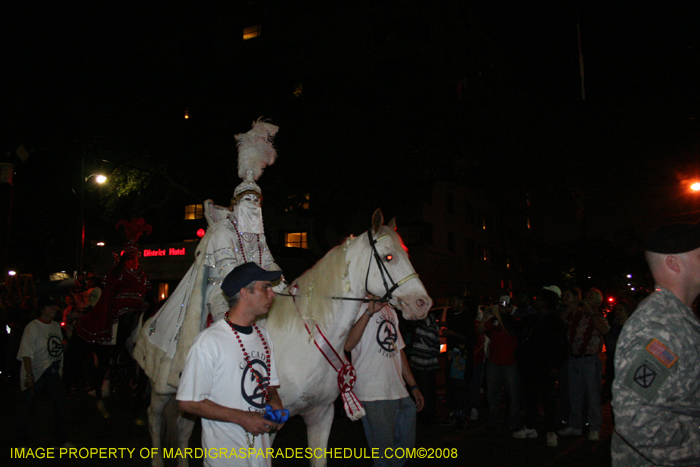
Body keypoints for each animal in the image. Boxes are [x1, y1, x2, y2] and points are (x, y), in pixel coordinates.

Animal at [137, 210, 430, 466]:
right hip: (162, 389)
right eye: (389, 257)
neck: (307, 341)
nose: (423, 303)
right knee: (153, 418)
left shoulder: (321, 415)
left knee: (183, 427)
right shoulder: (269, 421)